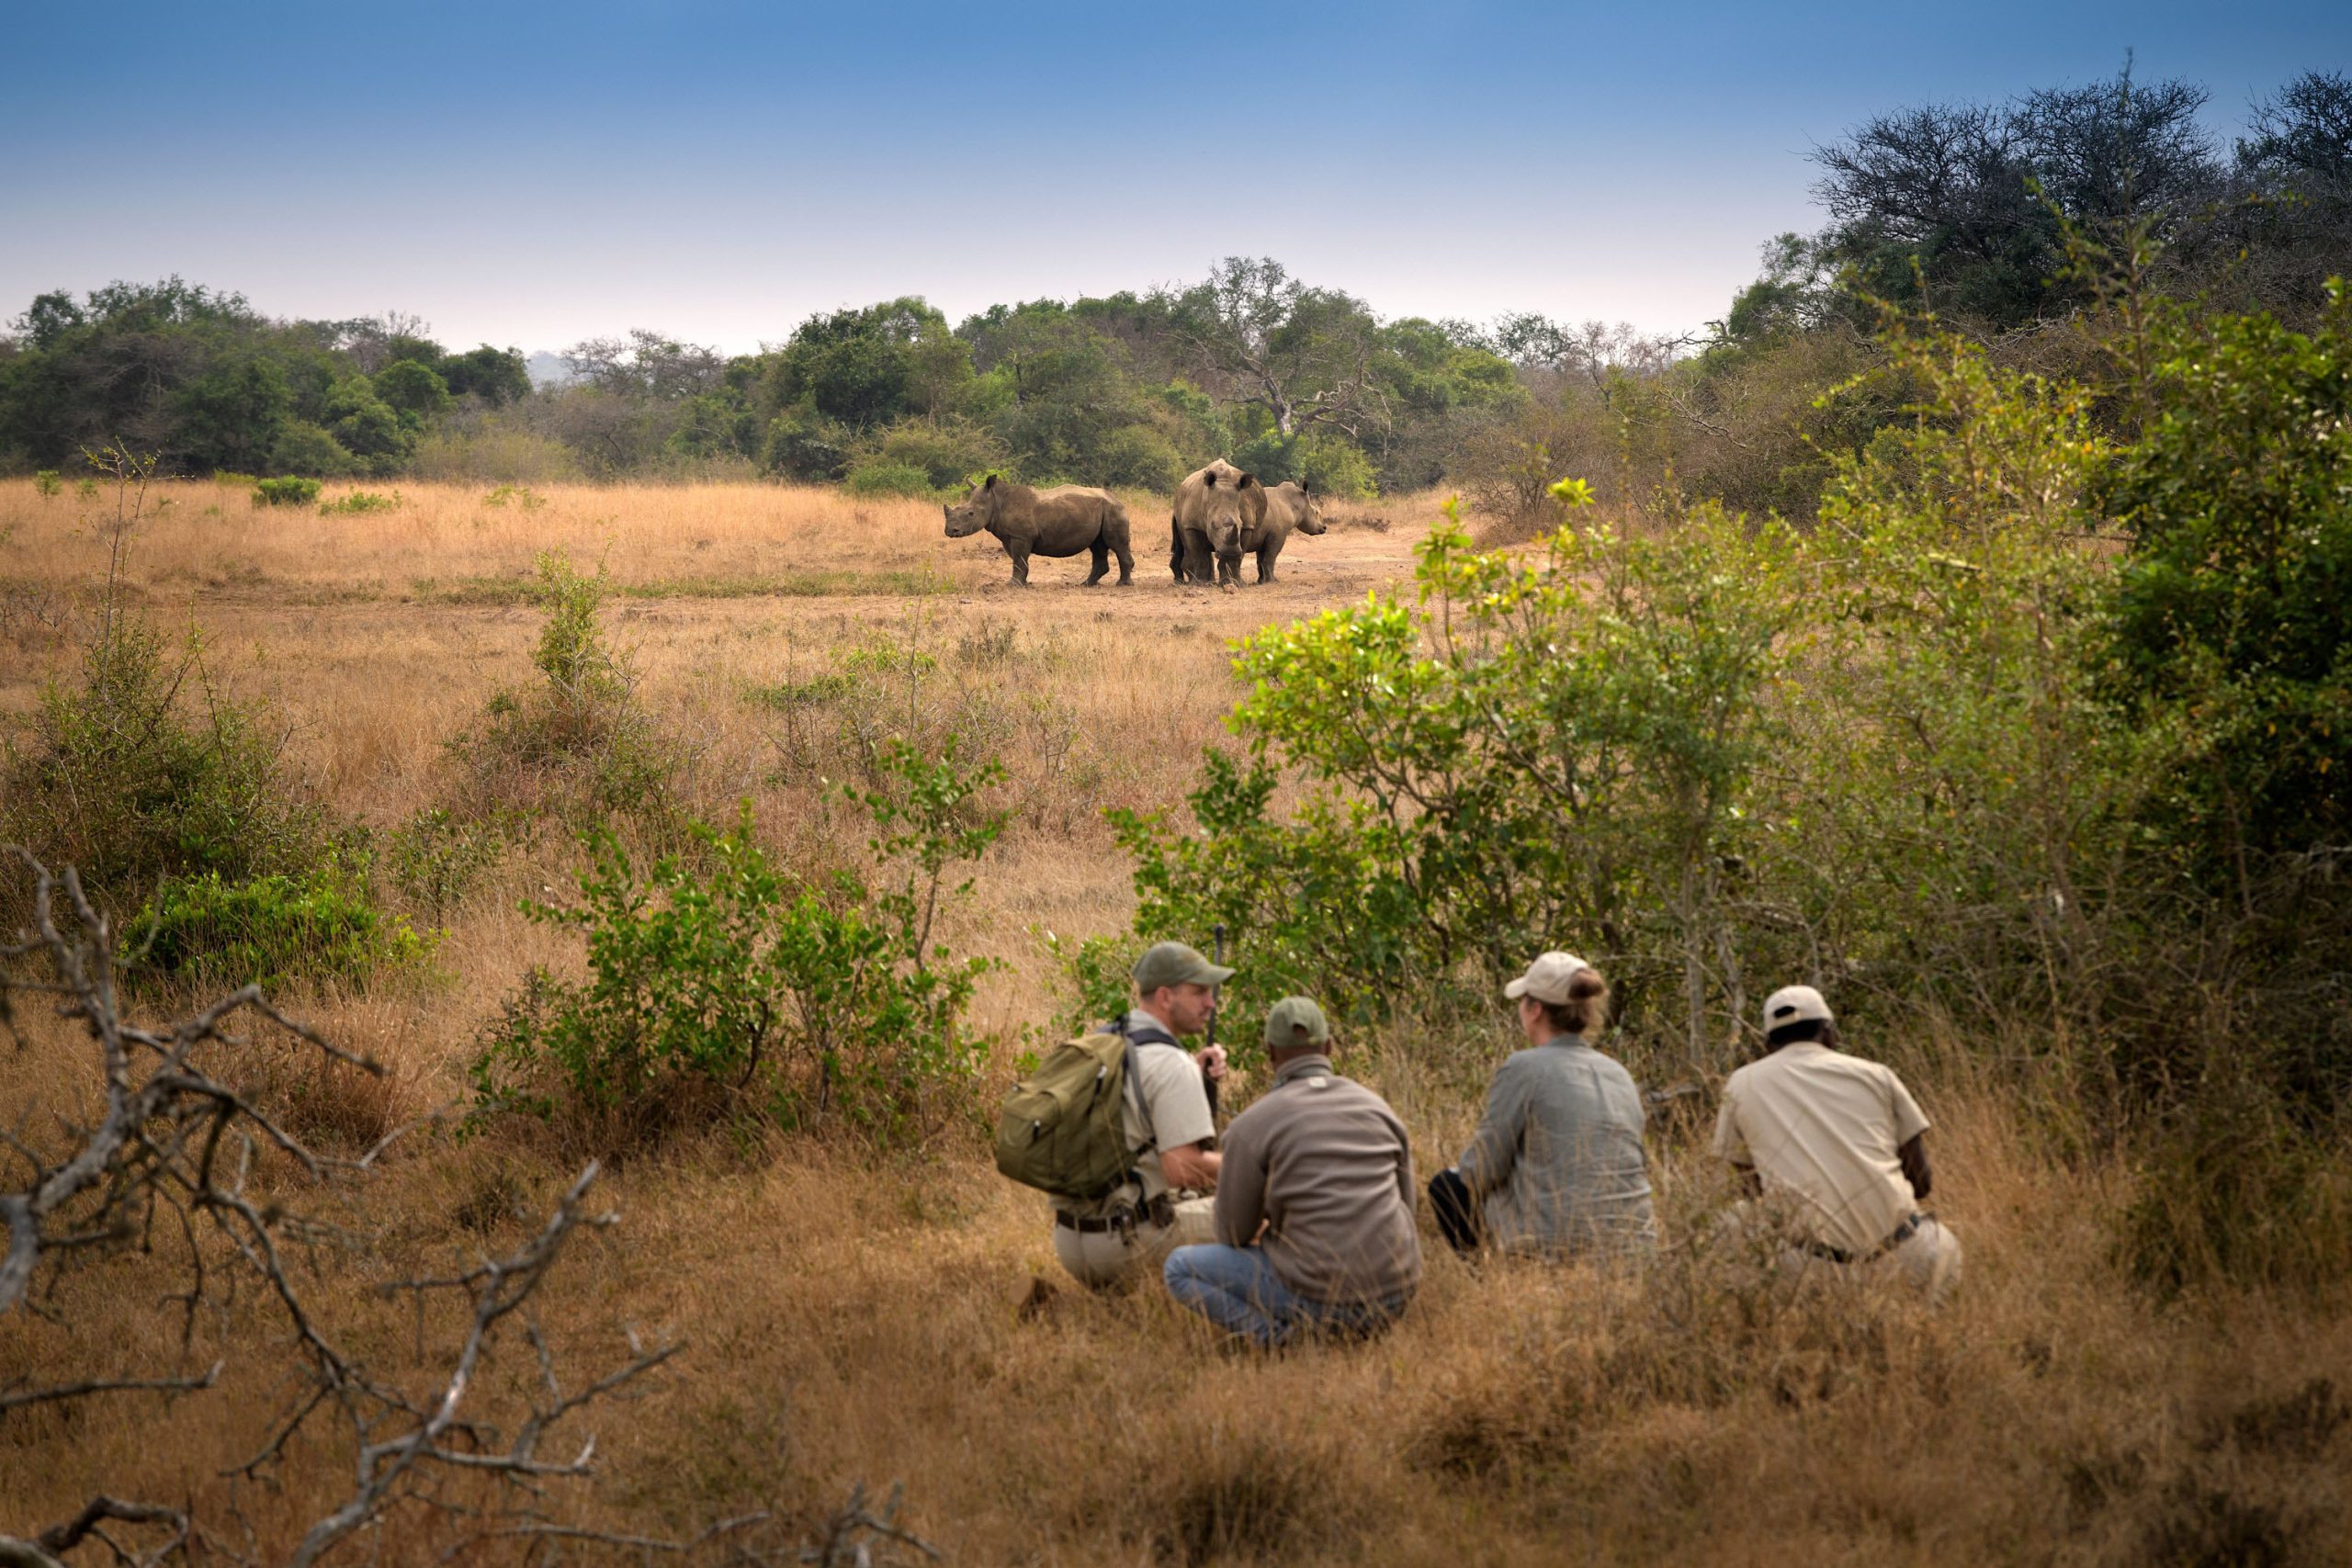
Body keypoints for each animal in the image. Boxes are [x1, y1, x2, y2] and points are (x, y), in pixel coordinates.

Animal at [955, 472, 1138, 587]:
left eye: (970, 514)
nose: (952, 531)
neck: (996, 500)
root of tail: (1116, 498)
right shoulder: (1010, 537)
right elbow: (1019, 560)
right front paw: (1023, 584)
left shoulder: (1020, 537)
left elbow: (1019, 560)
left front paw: (1013, 585)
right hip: (1101, 510)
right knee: (1097, 545)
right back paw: (1086, 584)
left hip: (1113, 510)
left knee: (1116, 545)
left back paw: (1122, 585)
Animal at [1161, 465, 1261, 594]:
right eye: (1212, 525)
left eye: (1240, 524)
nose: (1230, 552)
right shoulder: (1192, 526)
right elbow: (1199, 553)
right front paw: (1200, 585)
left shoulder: (1248, 526)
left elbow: (1238, 556)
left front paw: (1235, 584)